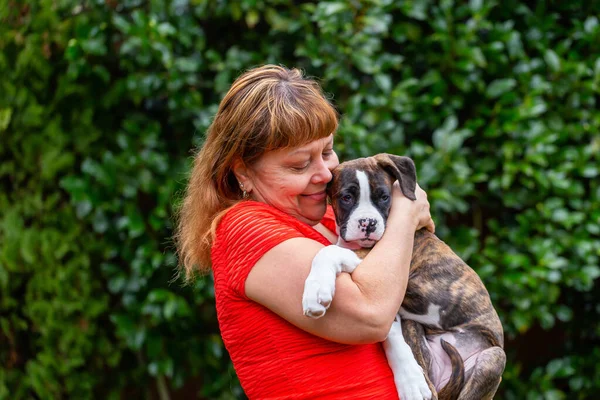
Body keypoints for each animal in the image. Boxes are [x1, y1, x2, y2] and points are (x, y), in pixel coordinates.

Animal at [302, 154, 504, 400]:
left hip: (492, 359)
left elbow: (329, 251)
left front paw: (315, 292)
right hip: (416, 332)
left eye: (384, 197)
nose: (368, 223)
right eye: (347, 198)